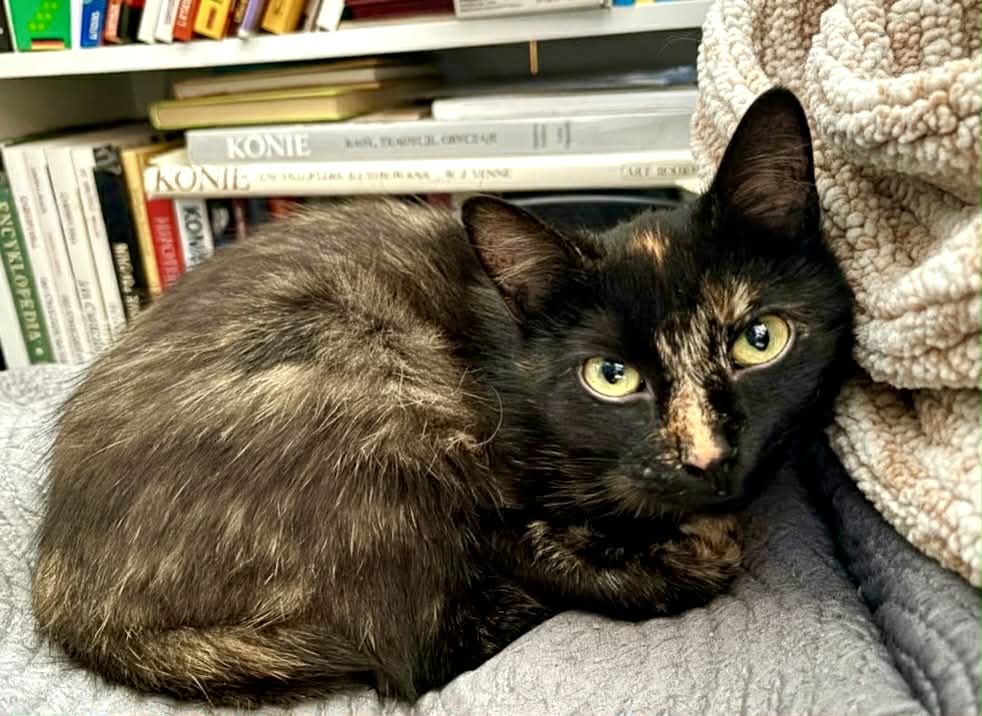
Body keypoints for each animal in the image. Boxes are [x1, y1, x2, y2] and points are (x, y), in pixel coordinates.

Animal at [32, 87, 853, 707]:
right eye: (611, 376)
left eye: (760, 339)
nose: (709, 458)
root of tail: (64, 591)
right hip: (376, 394)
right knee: (415, 650)